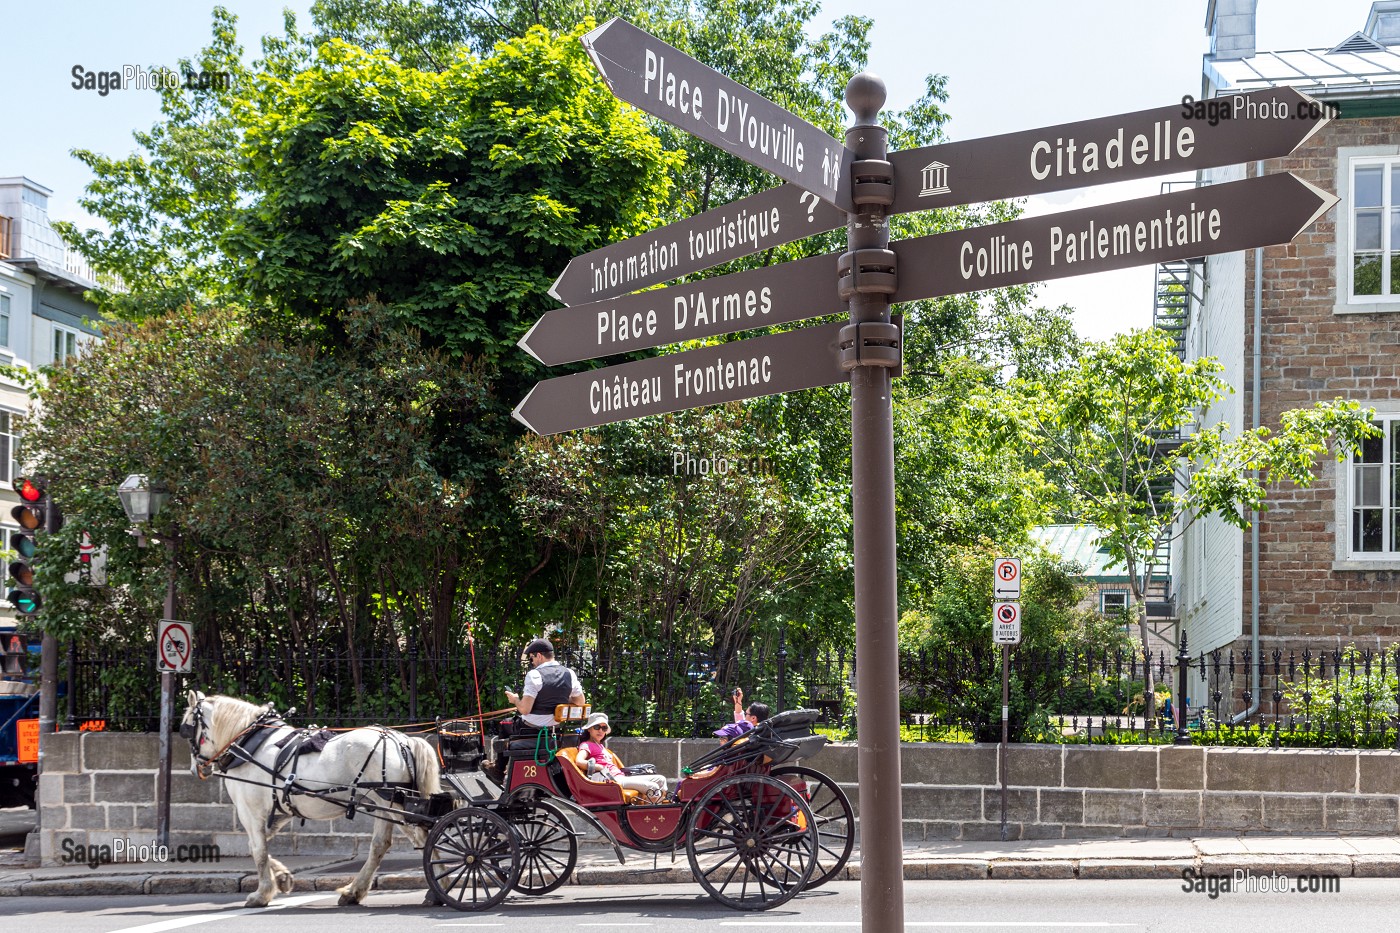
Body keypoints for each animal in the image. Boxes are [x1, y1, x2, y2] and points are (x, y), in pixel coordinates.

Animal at [182, 686, 442, 902]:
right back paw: (354, 891)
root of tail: (402, 740)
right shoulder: (278, 812)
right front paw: (282, 877)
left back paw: (439, 886)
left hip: (393, 804)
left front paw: (262, 893)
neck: (248, 744)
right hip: (382, 803)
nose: (195, 769)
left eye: (186, 728)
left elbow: (257, 850)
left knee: (424, 836)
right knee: (381, 845)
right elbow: (259, 847)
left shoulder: (250, 812)